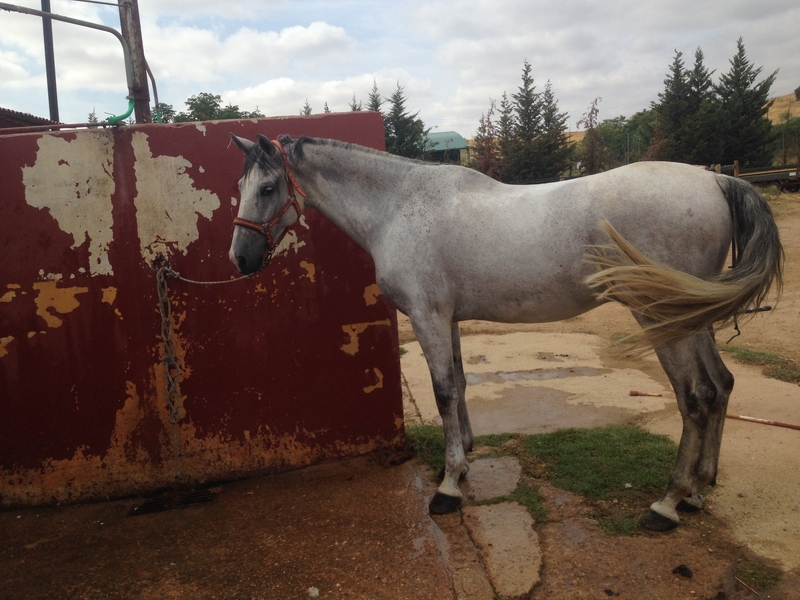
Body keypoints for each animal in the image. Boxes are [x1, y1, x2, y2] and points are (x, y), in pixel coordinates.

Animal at [228, 133, 783, 531]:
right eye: (241, 188)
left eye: (268, 189)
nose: (241, 259)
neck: (398, 207)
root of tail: (715, 182)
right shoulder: (448, 318)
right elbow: (458, 383)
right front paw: (462, 462)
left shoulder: (428, 316)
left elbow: (443, 391)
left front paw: (448, 488)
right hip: (692, 316)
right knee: (721, 386)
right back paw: (697, 491)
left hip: (662, 318)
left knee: (696, 396)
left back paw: (666, 504)